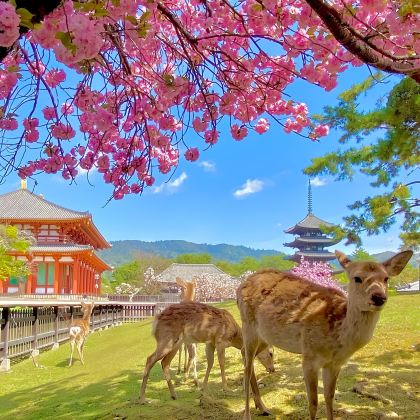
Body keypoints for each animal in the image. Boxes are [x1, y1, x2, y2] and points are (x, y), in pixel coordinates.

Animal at [139, 300, 274, 402]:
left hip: (176, 343)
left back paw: (174, 395)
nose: (272, 369)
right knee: (150, 359)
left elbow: (210, 363)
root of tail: (155, 323)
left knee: (164, 362)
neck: (234, 335)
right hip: (167, 339)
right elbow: (221, 363)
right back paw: (142, 398)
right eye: (271, 353)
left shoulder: (210, 343)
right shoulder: (220, 340)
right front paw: (226, 389)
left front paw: (203, 388)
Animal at [238, 251, 412, 418]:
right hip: (248, 325)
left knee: (245, 355)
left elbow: (329, 398)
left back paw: (263, 408)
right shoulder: (309, 356)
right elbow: (313, 403)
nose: (379, 297)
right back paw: (248, 414)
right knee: (247, 367)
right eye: (357, 278)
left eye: (386, 278)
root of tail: (241, 285)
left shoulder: (335, 364)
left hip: (264, 336)